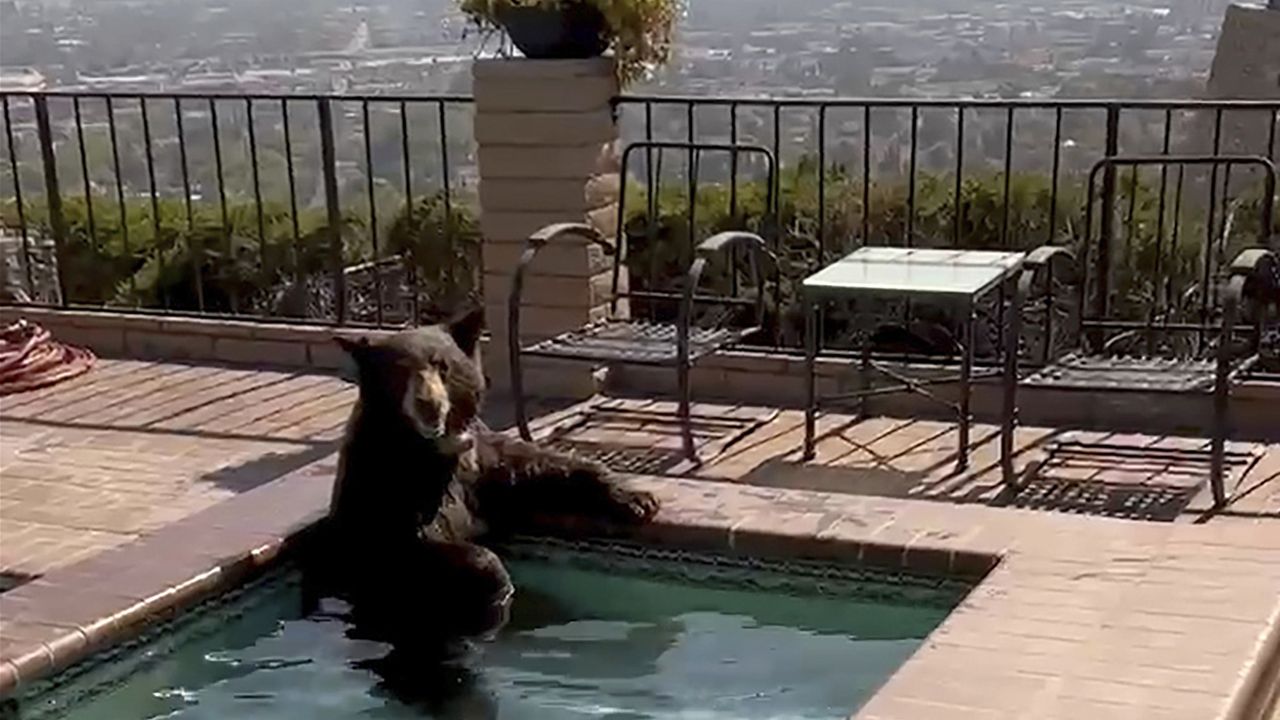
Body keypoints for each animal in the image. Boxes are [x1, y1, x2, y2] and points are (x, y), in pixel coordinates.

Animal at [320, 308, 660, 650]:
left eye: (442, 365)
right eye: (398, 371)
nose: (428, 404)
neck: (433, 448)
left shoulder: (476, 462)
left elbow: (532, 468)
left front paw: (637, 499)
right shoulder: (384, 483)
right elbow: (406, 546)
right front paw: (496, 579)